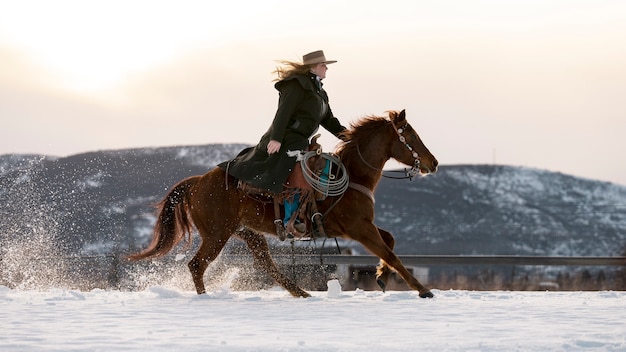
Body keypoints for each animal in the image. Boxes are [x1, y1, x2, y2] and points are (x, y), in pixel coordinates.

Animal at [129, 109, 436, 296]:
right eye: (411, 135)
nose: (433, 163)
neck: (351, 176)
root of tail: (197, 181)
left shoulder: (363, 226)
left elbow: (390, 242)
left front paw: (382, 276)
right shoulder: (359, 228)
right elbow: (391, 253)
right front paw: (423, 290)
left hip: (246, 233)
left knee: (267, 265)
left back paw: (301, 293)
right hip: (217, 234)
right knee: (197, 265)